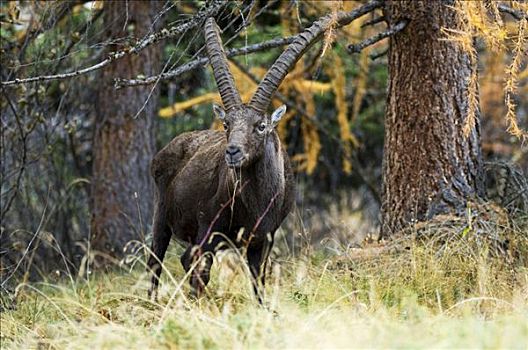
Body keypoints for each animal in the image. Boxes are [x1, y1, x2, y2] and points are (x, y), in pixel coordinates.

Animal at [146, 17, 324, 300]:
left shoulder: (263, 238)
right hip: (162, 215)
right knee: (157, 260)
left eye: (261, 126)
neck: (255, 203)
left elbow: (258, 280)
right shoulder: (208, 229)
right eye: (226, 124)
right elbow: (199, 271)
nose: (232, 152)